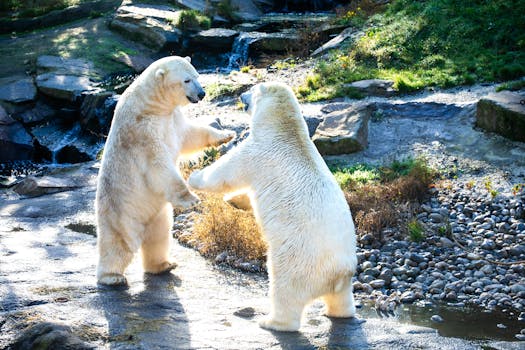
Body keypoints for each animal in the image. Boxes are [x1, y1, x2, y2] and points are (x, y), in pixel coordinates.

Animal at [95, 56, 234, 286]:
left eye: (197, 76)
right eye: (187, 80)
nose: (202, 94)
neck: (152, 105)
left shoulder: (172, 118)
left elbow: (191, 135)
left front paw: (226, 134)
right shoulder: (142, 131)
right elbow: (159, 164)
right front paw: (191, 199)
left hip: (158, 212)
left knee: (158, 236)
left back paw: (164, 265)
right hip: (119, 210)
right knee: (118, 243)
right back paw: (112, 276)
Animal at [187, 81, 356, 330]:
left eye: (252, 89)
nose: (241, 95)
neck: (285, 129)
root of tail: (337, 273)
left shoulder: (258, 152)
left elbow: (227, 172)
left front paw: (195, 177)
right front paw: (234, 201)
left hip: (297, 263)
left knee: (284, 290)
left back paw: (271, 321)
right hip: (344, 279)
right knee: (342, 299)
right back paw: (339, 313)